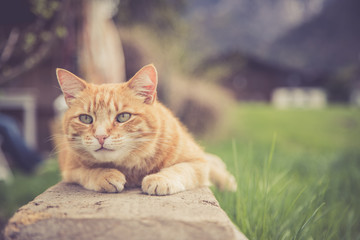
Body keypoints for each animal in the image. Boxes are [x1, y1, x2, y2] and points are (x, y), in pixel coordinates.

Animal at [55, 63, 236, 195]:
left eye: (123, 117)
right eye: (85, 119)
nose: (101, 136)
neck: (132, 168)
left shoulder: (196, 162)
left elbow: (179, 169)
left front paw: (159, 179)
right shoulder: (70, 169)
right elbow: (89, 171)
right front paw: (106, 174)